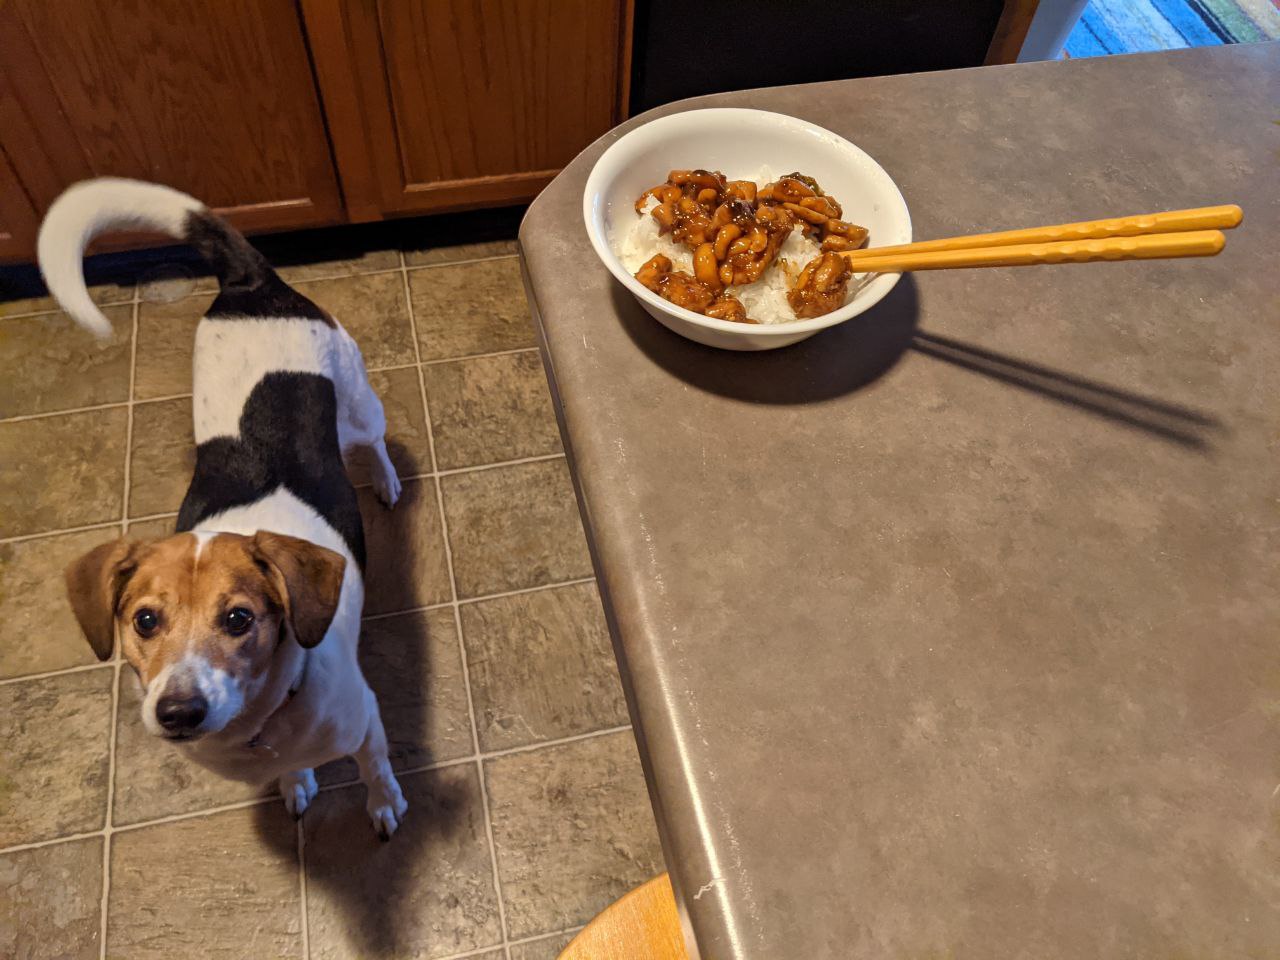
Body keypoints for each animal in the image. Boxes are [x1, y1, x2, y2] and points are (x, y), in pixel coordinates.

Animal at [41, 176, 409, 839]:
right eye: (144, 621)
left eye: (239, 619)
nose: (178, 711)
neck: (263, 716)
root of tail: (248, 282)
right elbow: (292, 773)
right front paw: (295, 783)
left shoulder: (365, 720)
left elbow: (376, 771)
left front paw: (384, 806)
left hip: (359, 399)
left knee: (372, 442)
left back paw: (388, 482)